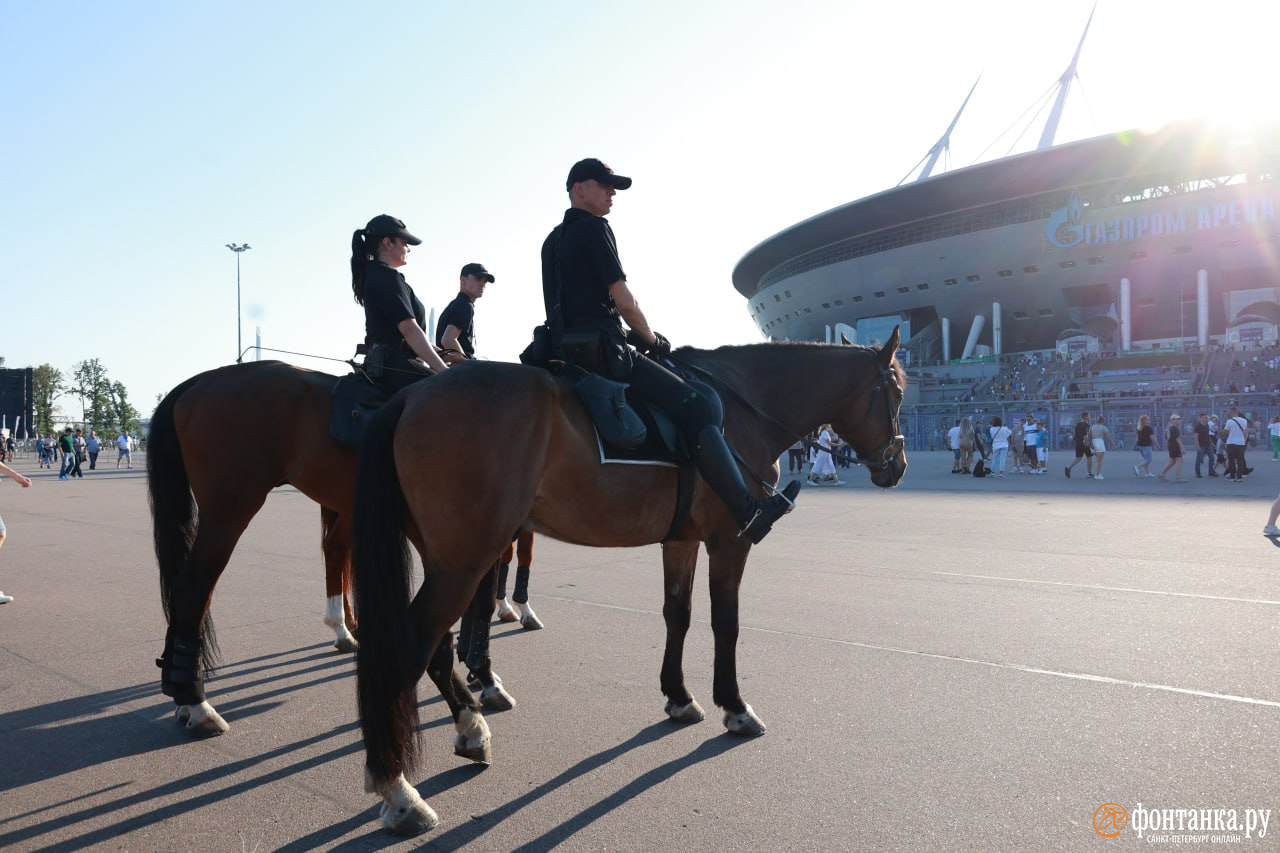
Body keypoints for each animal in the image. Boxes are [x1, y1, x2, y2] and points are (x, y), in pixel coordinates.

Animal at [350, 330, 911, 829]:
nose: (898, 465)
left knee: (434, 646)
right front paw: (734, 705)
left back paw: (468, 727)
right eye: (899, 392)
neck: (745, 407)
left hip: (449, 558)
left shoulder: (682, 540)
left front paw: (679, 696)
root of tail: (411, 395)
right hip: (466, 561)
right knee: (411, 646)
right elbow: (725, 623)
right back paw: (399, 791)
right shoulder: (730, 541)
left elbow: (678, 614)